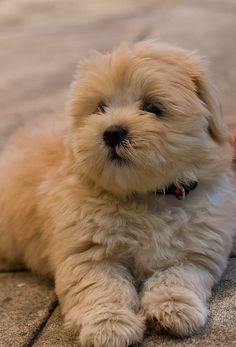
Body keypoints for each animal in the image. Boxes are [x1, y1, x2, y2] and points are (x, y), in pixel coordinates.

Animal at [0, 41, 235, 347]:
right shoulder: (89, 254)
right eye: (100, 107)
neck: (146, 196)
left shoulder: (196, 249)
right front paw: (110, 326)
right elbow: (103, 288)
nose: (112, 132)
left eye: (152, 107)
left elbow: (177, 276)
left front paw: (173, 307)